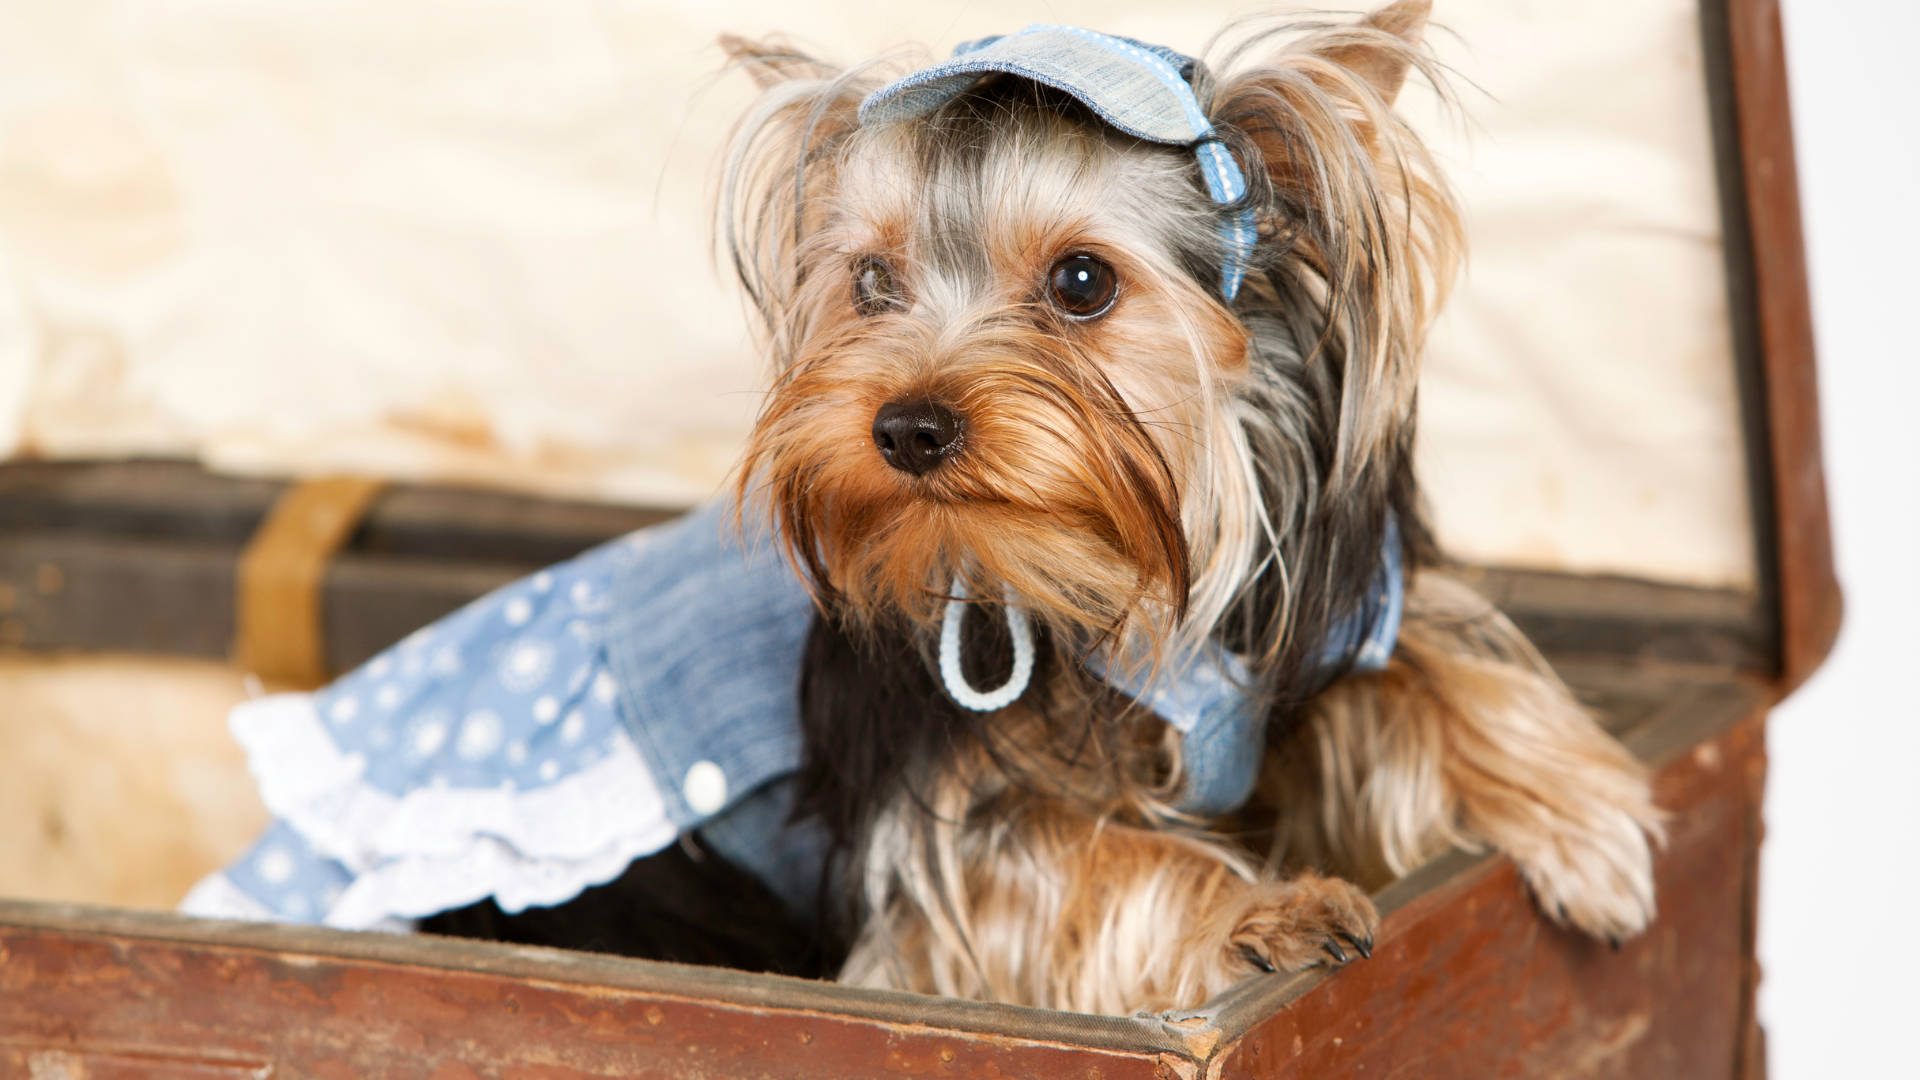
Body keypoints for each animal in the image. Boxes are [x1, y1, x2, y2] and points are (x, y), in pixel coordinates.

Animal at [714, 0, 1658, 1014]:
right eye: (870, 283)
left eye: (1082, 280)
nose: (907, 429)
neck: (1108, 567)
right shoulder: (936, 848)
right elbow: (1082, 859)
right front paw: (1266, 913)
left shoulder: (1310, 613)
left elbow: (1426, 662)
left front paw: (1582, 823)